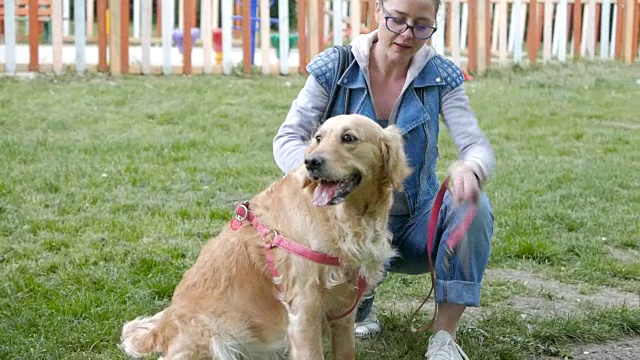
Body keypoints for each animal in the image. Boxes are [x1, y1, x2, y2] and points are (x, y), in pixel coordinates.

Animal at [120, 114, 410, 358]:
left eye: (348, 138)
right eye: (318, 138)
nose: (311, 162)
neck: (348, 218)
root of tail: (165, 325)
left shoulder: (343, 309)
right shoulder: (304, 307)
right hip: (216, 336)